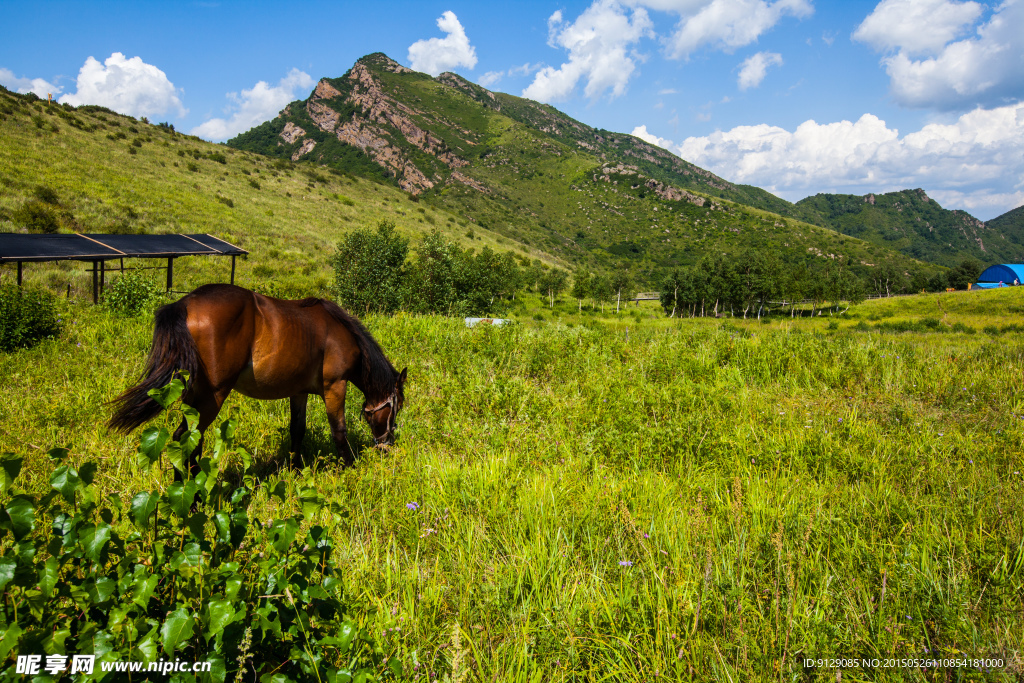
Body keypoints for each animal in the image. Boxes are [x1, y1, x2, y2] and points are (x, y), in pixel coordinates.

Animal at [107, 282, 403, 471]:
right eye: (397, 407)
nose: (386, 445)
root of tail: (185, 303)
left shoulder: (299, 392)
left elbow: (297, 430)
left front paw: (294, 470)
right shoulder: (335, 386)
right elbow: (339, 430)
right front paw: (349, 468)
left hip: (194, 395)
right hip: (212, 396)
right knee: (188, 437)